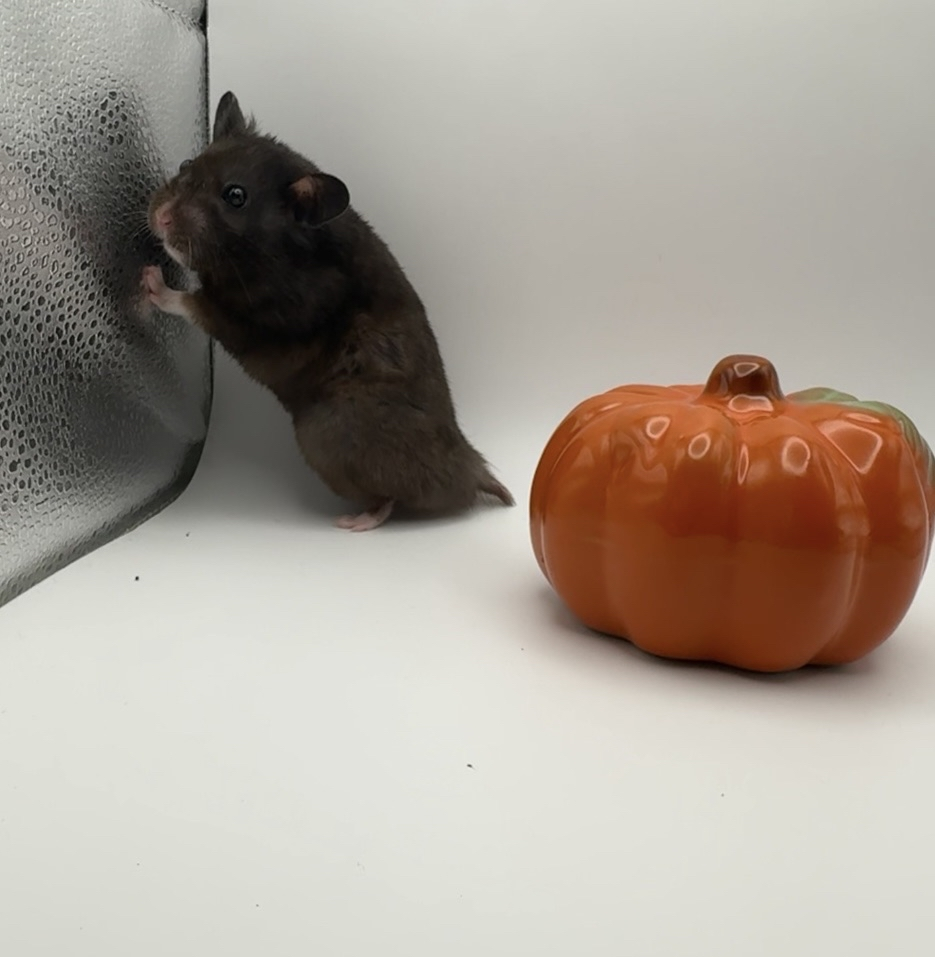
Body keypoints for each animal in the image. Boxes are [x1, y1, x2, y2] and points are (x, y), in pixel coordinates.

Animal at [142, 91, 513, 531]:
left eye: (235, 196)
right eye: (186, 165)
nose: (160, 219)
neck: (273, 253)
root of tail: (472, 470)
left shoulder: (254, 318)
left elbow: (192, 303)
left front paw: (149, 280)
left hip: (324, 433)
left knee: (392, 498)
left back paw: (355, 521)